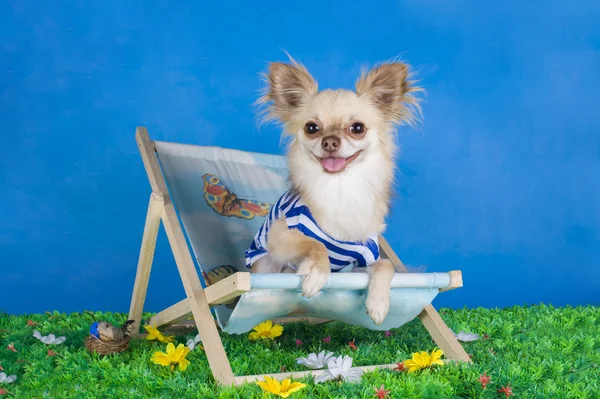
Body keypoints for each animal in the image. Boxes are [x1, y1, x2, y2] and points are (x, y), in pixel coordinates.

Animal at [244, 56, 422, 324]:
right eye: (311, 128)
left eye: (357, 128)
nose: (329, 141)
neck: (340, 187)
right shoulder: (281, 234)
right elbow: (315, 245)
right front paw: (317, 271)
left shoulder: (365, 257)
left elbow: (385, 265)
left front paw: (379, 303)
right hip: (266, 265)